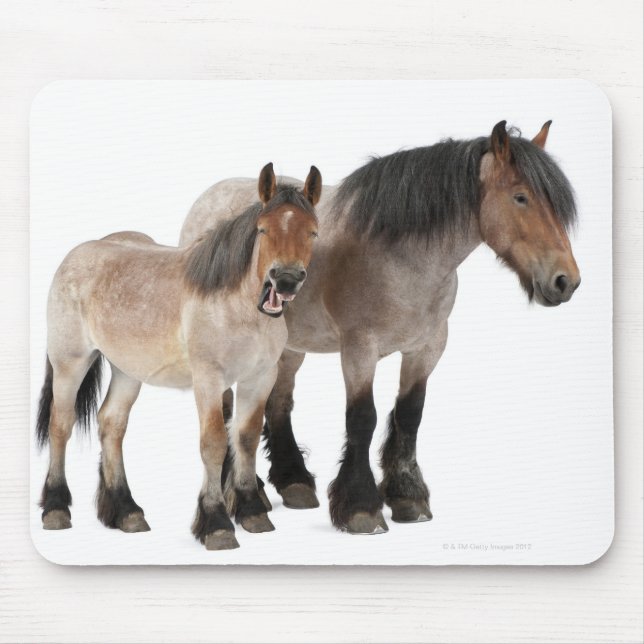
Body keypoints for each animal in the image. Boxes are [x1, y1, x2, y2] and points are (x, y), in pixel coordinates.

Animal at [35, 162, 322, 550]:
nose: (286, 280)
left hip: (127, 370)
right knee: (60, 424)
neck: (236, 306)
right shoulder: (209, 379)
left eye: (313, 232)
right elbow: (214, 443)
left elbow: (245, 438)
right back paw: (55, 508)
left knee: (111, 424)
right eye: (262, 229)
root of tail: (74, 256)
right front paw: (217, 524)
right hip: (70, 362)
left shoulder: (259, 378)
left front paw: (251, 512)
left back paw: (127, 512)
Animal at [179, 121, 581, 535]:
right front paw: (361, 507)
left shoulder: (428, 348)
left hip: (289, 348)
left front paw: (407, 497)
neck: (399, 257)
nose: (565, 281)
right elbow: (362, 418)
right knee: (229, 410)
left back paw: (292, 482)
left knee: (278, 403)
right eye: (521, 197)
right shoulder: (359, 349)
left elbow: (409, 415)